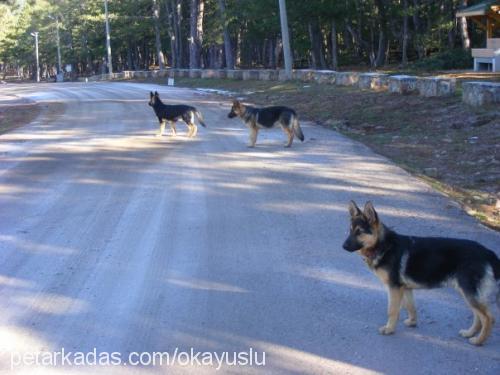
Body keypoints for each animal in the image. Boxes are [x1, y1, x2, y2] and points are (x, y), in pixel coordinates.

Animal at [344, 203, 500, 346]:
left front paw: (389, 329)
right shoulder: (405, 288)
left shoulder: (394, 288)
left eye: (359, 232)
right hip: (468, 293)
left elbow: (392, 310)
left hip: (468, 292)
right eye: (350, 231)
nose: (343, 246)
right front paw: (412, 322)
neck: (383, 245)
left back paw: (479, 340)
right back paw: (470, 333)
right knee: (478, 316)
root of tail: (489, 253)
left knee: (488, 318)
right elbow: (411, 307)